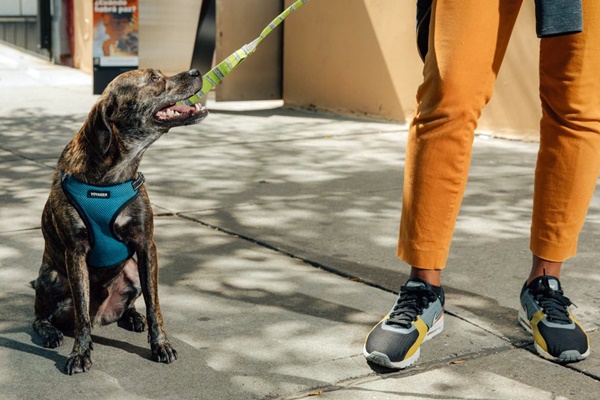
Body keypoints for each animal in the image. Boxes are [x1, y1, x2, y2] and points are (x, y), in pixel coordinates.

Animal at [32, 67, 207, 374]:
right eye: (154, 78)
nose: (196, 70)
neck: (116, 171)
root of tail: (103, 315)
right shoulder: (75, 253)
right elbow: (80, 314)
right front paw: (80, 353)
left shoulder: (146, 246)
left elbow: (154, 304)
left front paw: (160, 344)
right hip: (50, 277)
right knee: (40, 317)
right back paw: (50, 332)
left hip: (134, 269)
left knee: (133, 304)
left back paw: (133, 317)